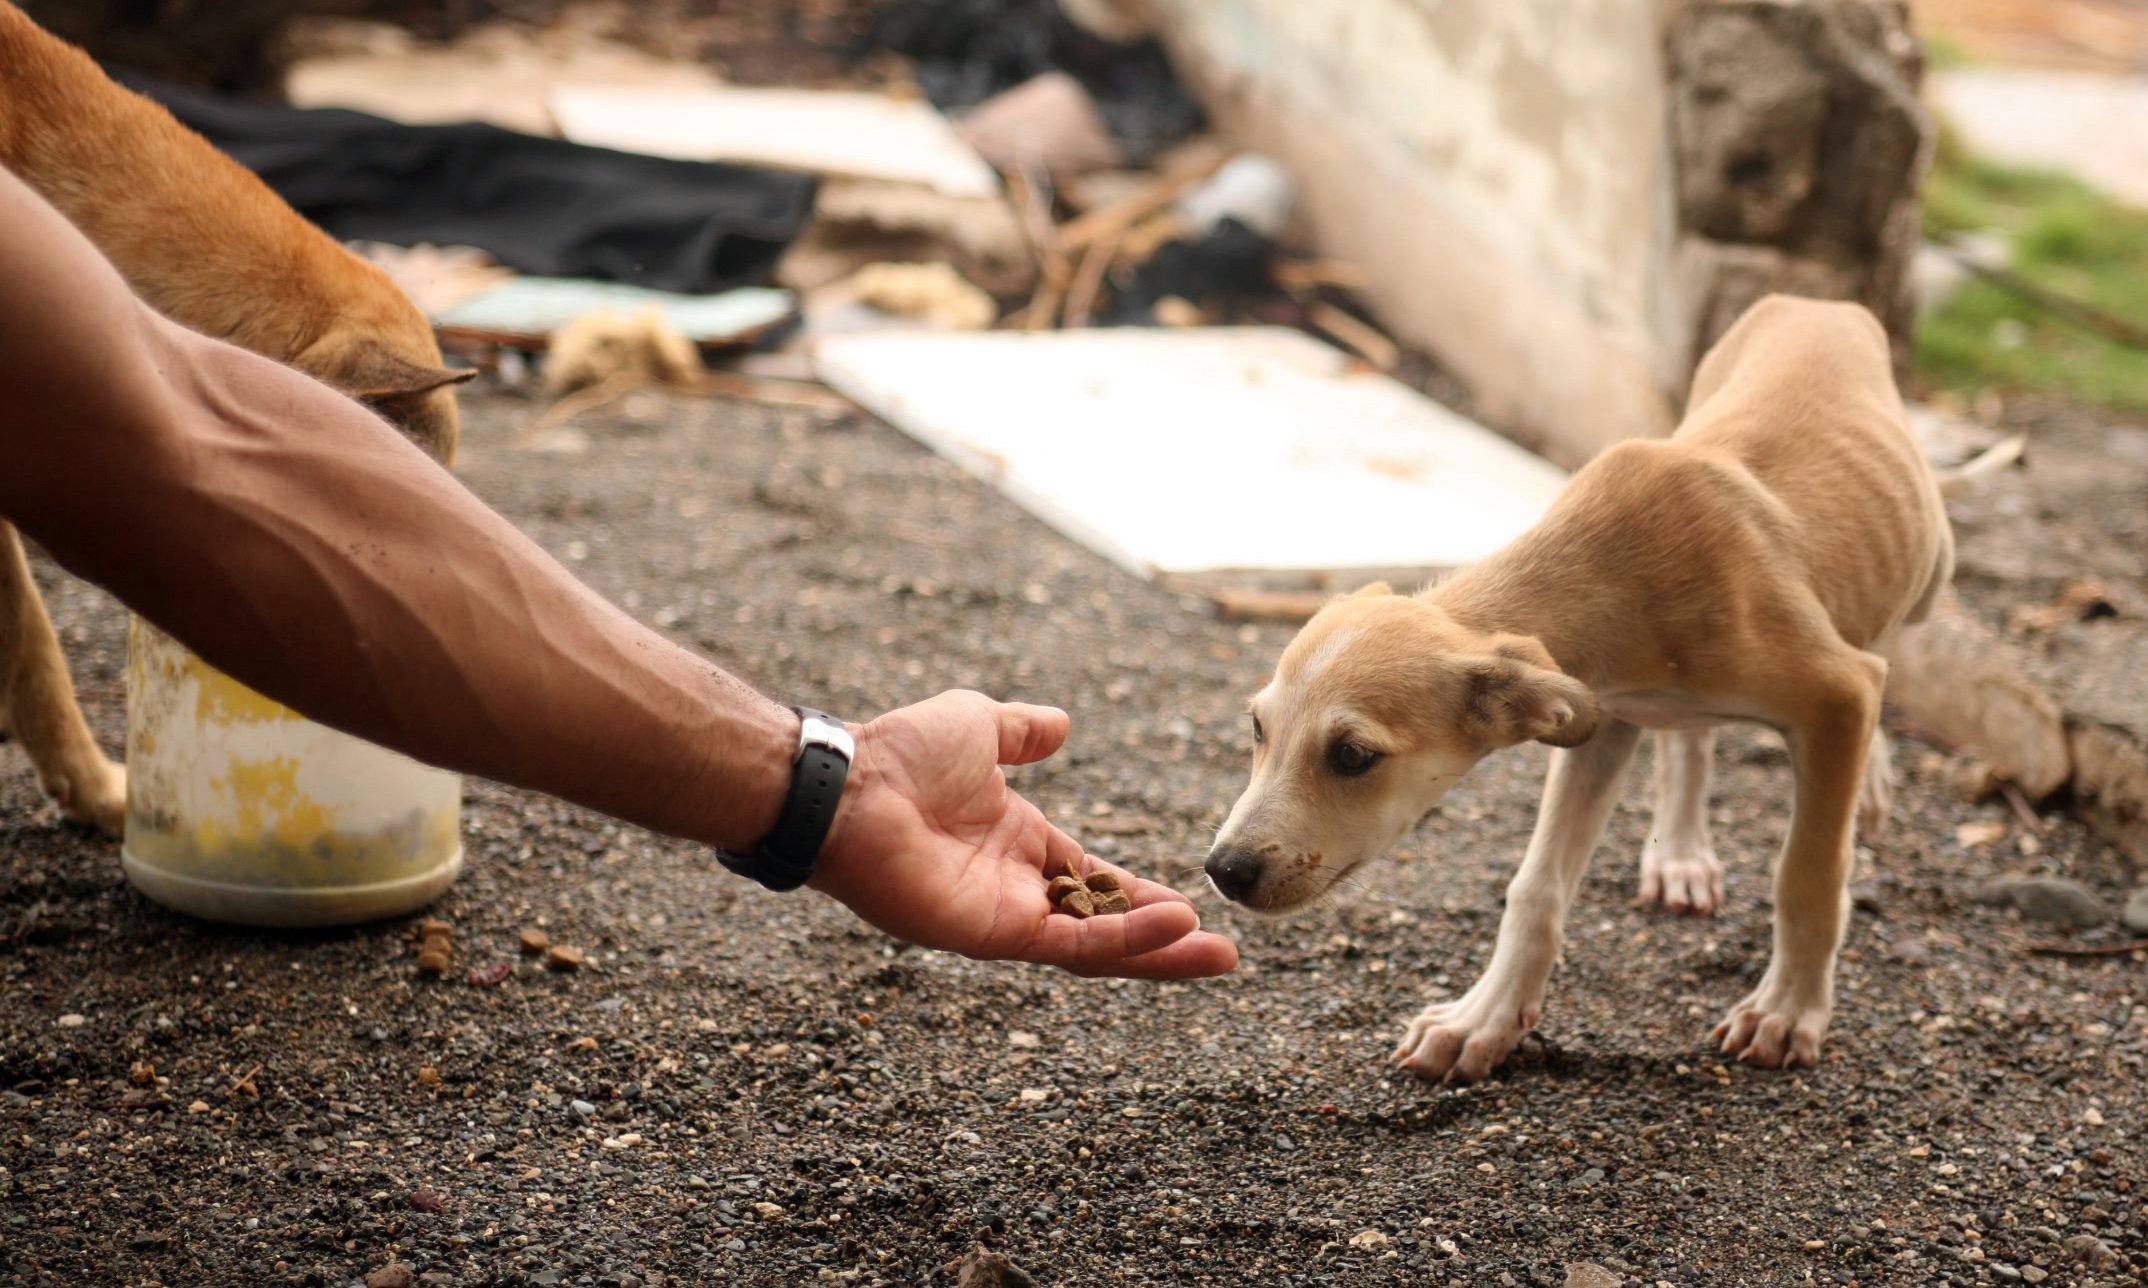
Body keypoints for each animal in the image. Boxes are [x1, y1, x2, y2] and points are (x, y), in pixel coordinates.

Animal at [1211, 296, 1950, 1081]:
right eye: (1257, 729)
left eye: (1353, 756)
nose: (1223, 871)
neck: (1616, 571)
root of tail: (1816, 301)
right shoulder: (1600, 720)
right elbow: (1535, 888)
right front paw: (1484, 1020)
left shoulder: (1837, 693)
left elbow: (1807, 872)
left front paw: (1787, 1010)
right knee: (1691, 742)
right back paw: (1680, 854)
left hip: (1928, 571)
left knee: (1883, 643)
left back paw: (1867, 782)